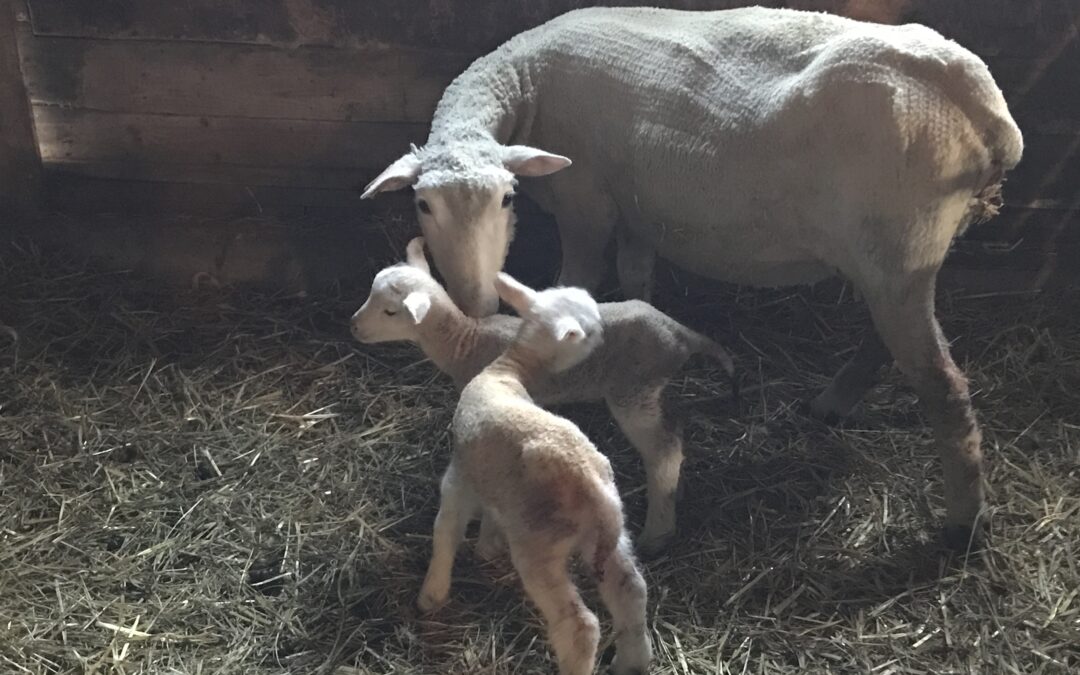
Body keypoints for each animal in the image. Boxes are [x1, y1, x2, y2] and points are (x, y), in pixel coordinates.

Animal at [349, 236, 738, 552]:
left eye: (390, 311)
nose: (353, 326)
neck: (465, 342)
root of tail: (680, 332)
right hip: (653, 388)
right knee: (675, 432)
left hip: (633, 389)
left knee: (662, 452)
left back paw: (657, 533)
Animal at [412, 271, 648, 673]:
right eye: (589, 327)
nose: (603, 333)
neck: (506, 372)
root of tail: (592, 487)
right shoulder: (493, 482)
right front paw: (487, 546)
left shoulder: (461, 473)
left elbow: (446, 528)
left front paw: (433, 591)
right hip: (607, 534)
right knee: (631, 589)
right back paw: (634, 661)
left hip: (539, 543)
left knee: (581, 625)